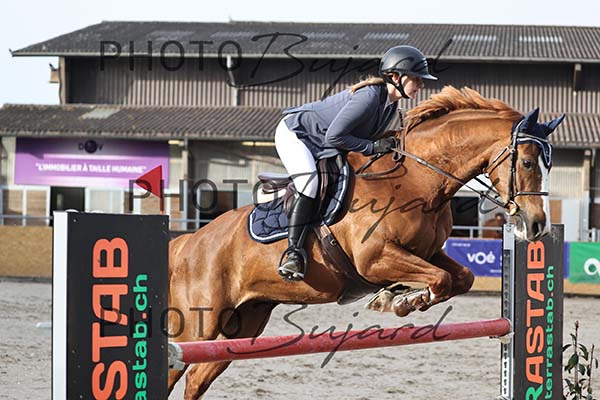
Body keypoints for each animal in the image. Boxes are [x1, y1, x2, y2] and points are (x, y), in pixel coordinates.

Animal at [167, 86, 564, 399]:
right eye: (528, 162)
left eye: (548, 165)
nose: (537, 226)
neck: (418, 180)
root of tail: (189, 242)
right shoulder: (374, 259)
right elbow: (439, 279)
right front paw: (401, 302)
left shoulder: (427, 252)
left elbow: (460, 277)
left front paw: (400, 298)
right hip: (199, 323)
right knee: (176, 368)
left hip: (245, 323)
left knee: (197, 379)